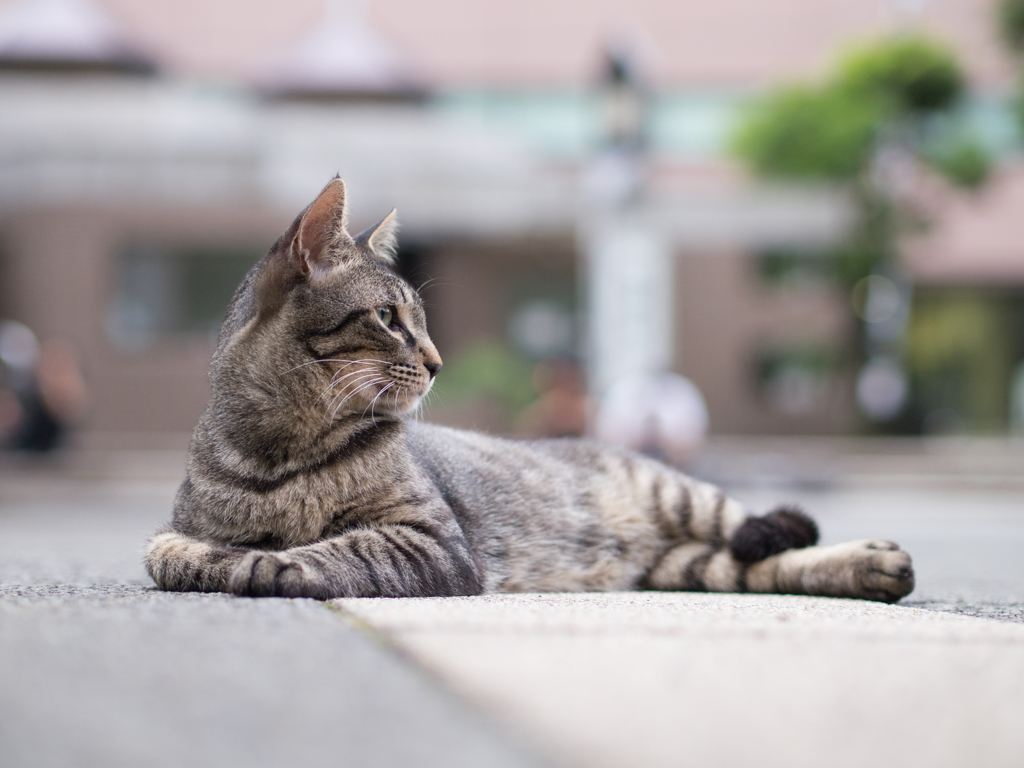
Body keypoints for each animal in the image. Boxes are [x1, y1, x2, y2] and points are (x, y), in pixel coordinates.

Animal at [142, 177, 913, 606]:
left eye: (420, 320)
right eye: (389, 318)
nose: (438, 361)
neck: (283, 450)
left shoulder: (431, 541)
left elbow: (330, 551)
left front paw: (260, 562)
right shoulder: (175, 525)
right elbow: (165, 548)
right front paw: (213, 556)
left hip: (685, 496)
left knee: (770, 530)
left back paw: (880, 558)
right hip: (689, 565)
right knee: (756, 566)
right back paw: (872, 571)